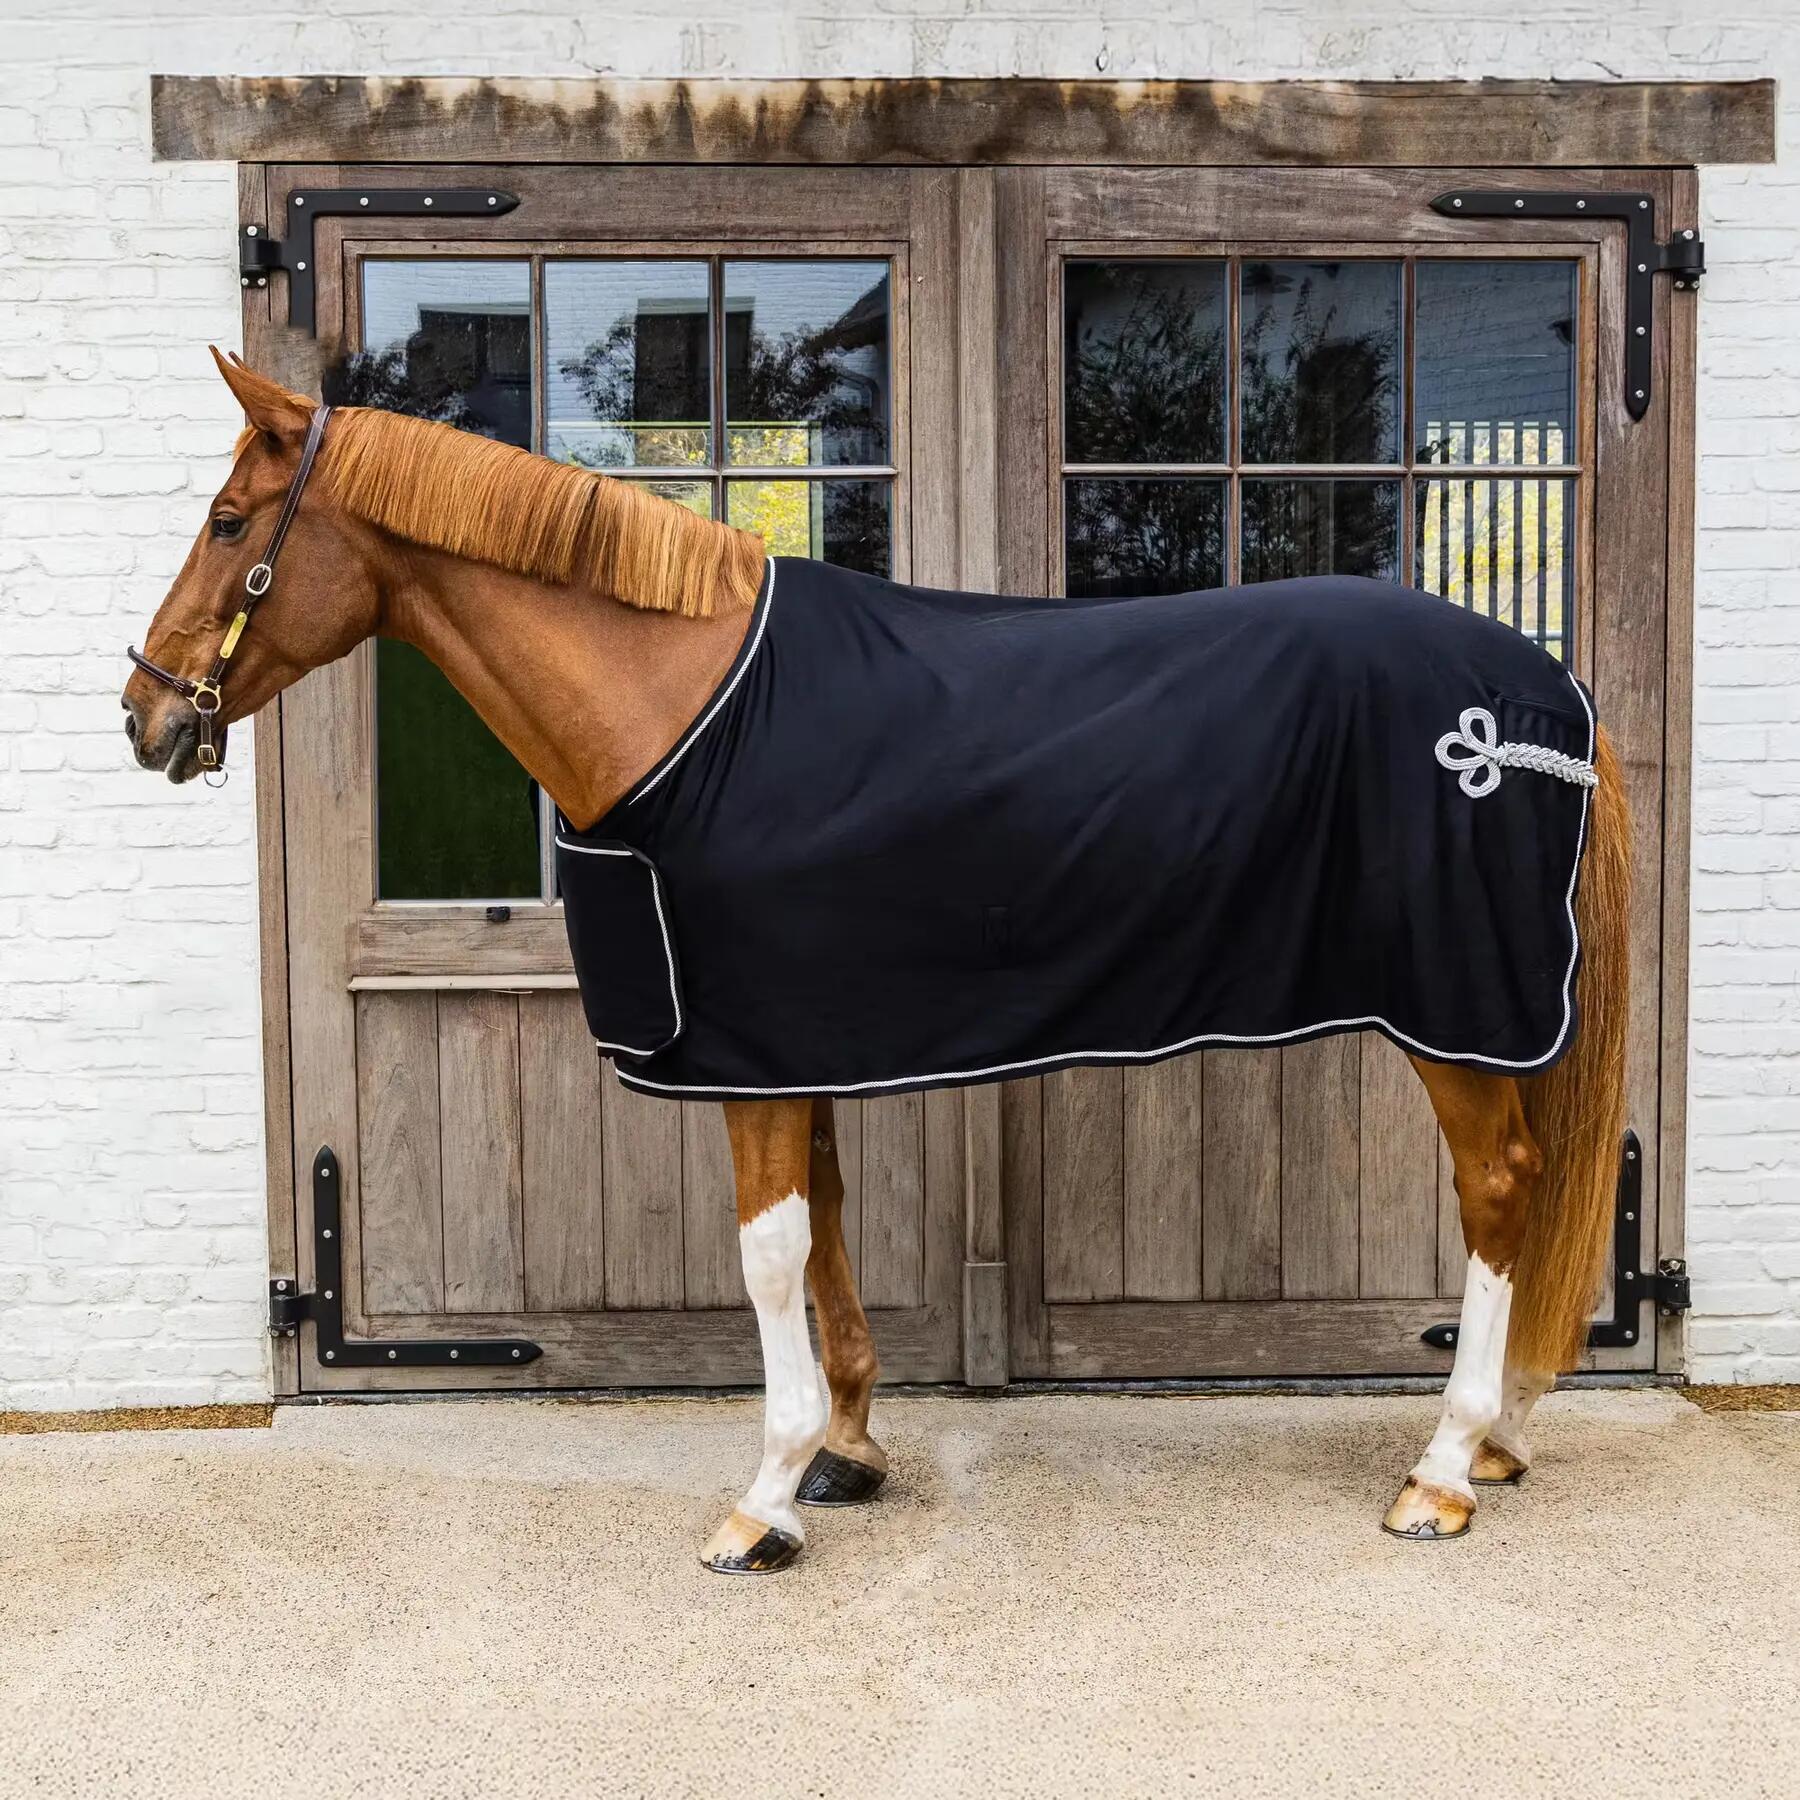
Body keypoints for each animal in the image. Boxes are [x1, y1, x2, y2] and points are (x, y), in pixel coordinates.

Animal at [123, 351, 1630, 1573]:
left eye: (228, 522)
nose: (145, 713)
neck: (689, 711)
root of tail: (1547, 695)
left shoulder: (746, 1052)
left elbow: (770, 1253)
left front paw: (765, 1498)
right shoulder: (791, 1038)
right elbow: (832, 1225)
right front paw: (846, 1451)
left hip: (1455, 1013)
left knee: (1501, 1187)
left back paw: (1446, 1466)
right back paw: (1498, 1438)